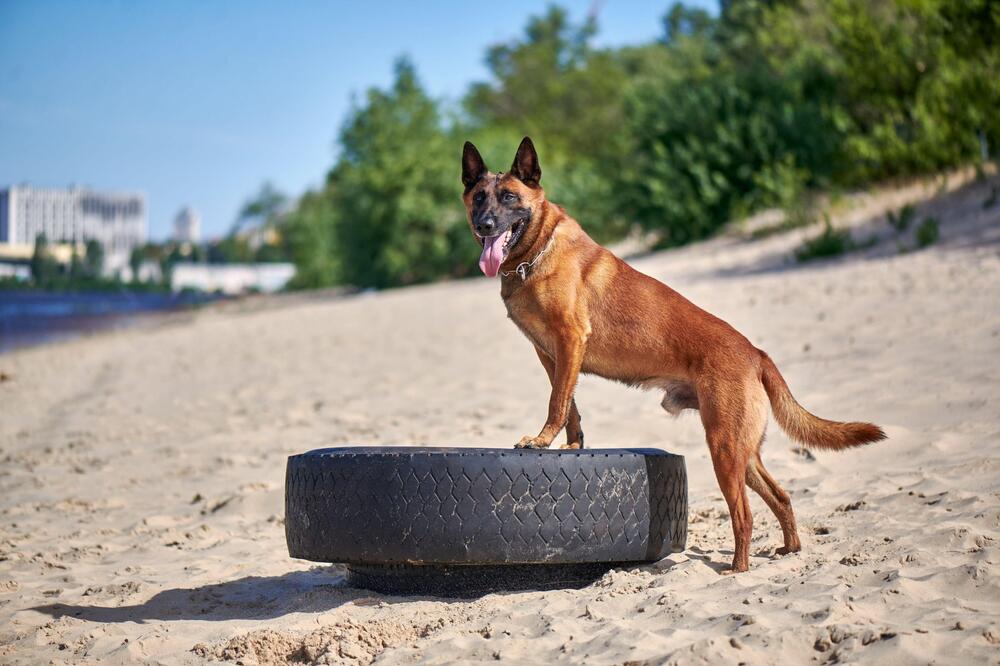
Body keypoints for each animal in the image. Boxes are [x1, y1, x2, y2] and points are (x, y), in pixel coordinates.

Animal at [460, 136, 884, 572]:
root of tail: (755, 352)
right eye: (479, 198)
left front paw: (542, 441)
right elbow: (570, 408)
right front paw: (572, 447)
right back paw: (788, 551)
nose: (484, 225)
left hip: (724, 448)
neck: (536, 251)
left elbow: (556, 403)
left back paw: (737, 570)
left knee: (744, 515)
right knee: (780, 497)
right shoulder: (552, 355)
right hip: (744, 453)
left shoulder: (569, 342)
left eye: (509, 197)